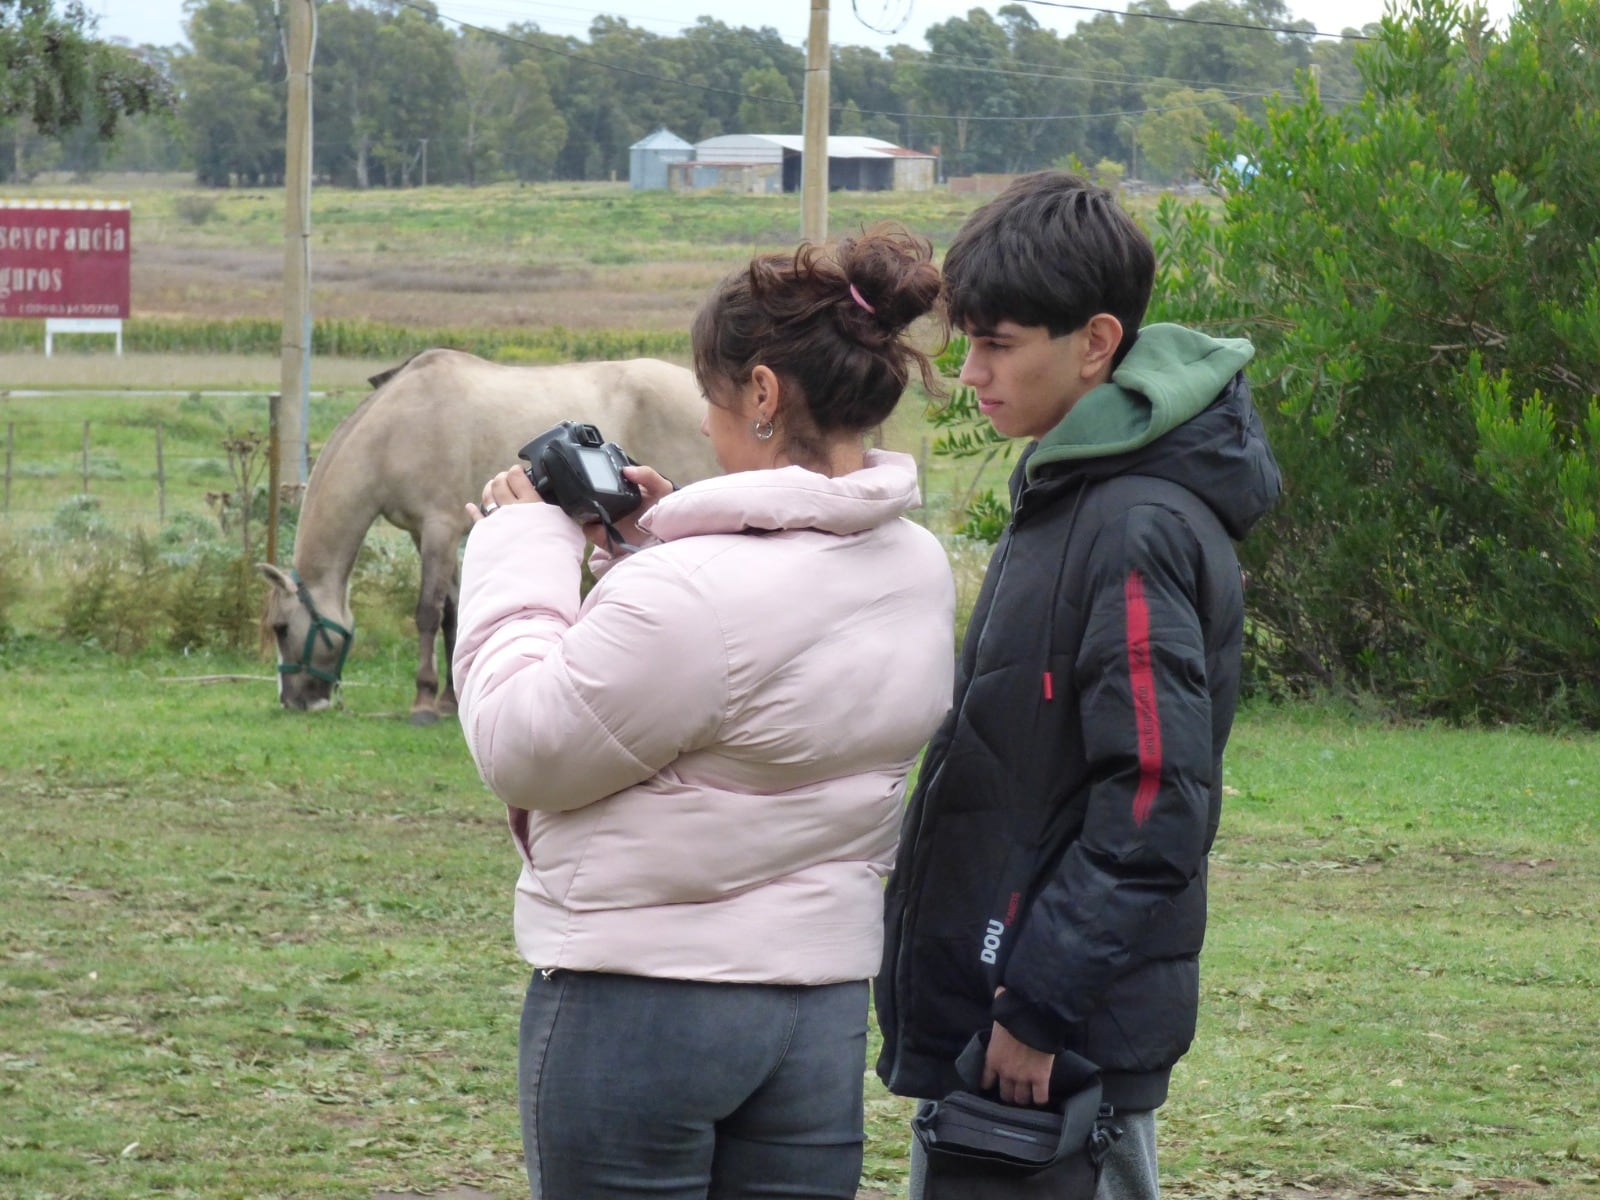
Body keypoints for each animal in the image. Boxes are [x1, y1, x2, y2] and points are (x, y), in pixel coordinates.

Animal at [257, 347, 720, 723]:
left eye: (281, 628)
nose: (294, 702)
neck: (396, 429)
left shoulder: (439, 527)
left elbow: (427, 612)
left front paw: (423, 703)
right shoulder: (427, 533)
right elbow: (452, 614)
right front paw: (448, 700)